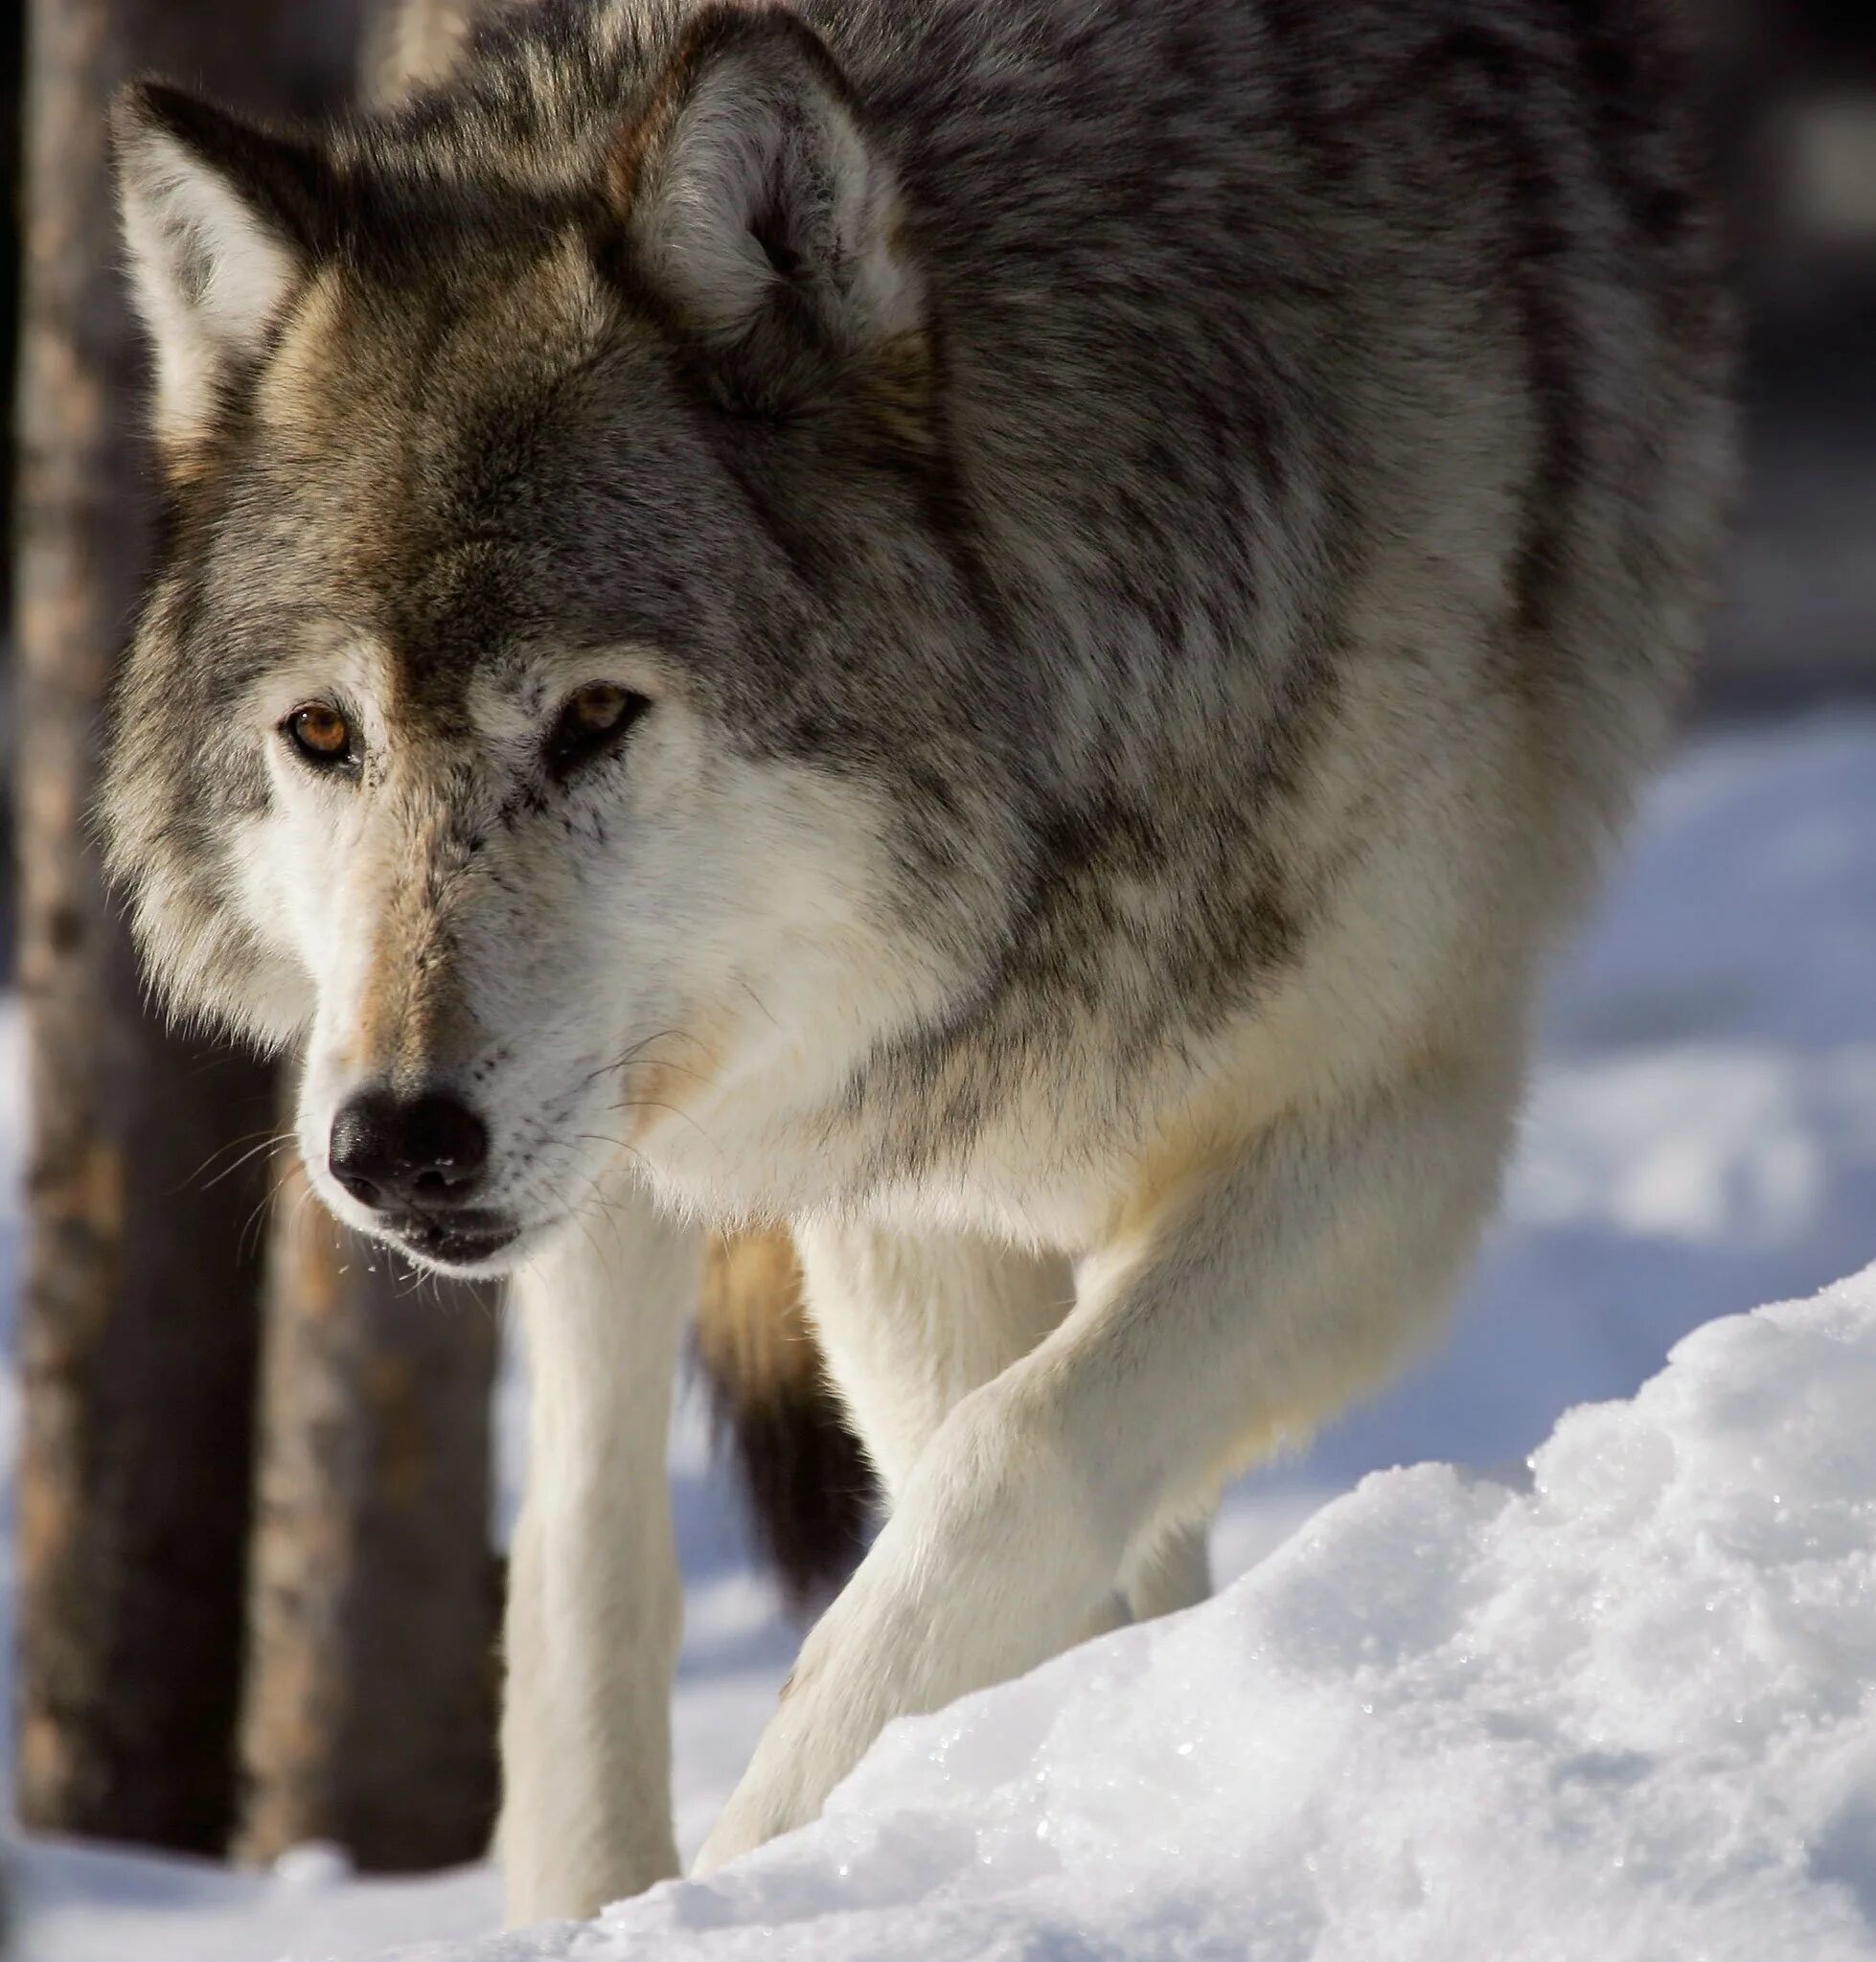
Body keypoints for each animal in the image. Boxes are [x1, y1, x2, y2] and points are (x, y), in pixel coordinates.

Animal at [109, 0, 1734, 1930]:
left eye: (594, 717)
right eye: (322, 734)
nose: (390, 1148)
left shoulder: (1389, 1128)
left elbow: (1006, 1470)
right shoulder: (898, 1168)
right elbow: (976, 1479)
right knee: (584, 1514)